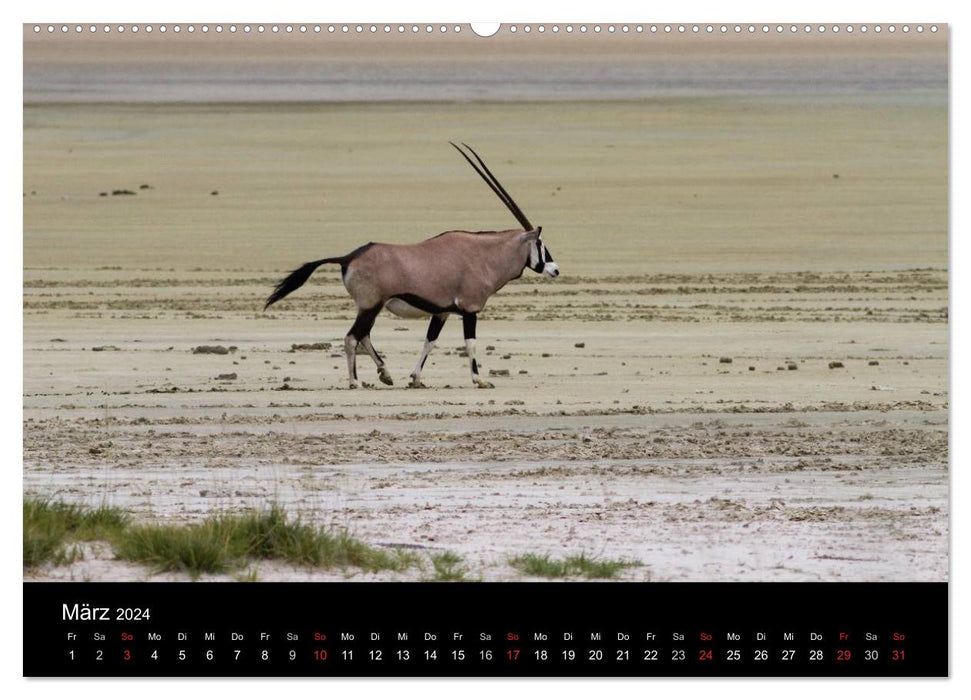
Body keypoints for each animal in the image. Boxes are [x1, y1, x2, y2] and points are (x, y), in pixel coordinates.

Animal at [266, 143, 560, 392]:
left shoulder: (441, 312)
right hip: (371, 305)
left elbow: (430, 341)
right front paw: (479, 380)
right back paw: (355, 382)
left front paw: (416, 378)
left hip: (370, 307)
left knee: (363, 336)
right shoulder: (469, 309)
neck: (483, 255)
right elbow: (471, 343)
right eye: (540, 243)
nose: (555, 270)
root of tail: (348, 257)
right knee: (352, 337)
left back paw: (385, 374)